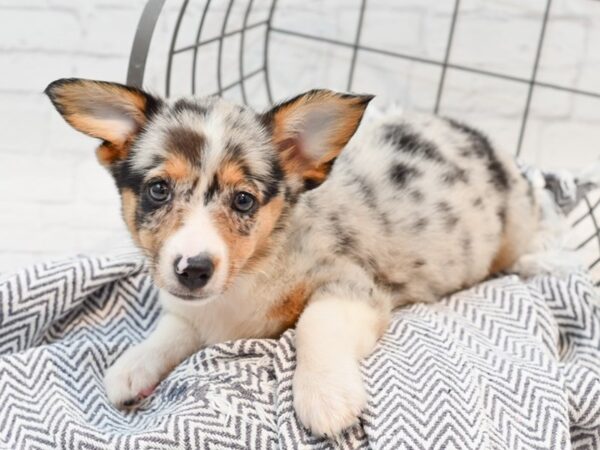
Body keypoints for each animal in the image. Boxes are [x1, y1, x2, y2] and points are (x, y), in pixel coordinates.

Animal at [45, 77, 548, 436]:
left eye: (244, 200)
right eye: (158, 190)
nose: (194, 270)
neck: (242, 283)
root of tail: (472, 132)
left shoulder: (352, 284)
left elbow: (314, 323)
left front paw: (326, 397)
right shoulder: (191, 309)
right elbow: (172, 327)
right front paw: (133, 366)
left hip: (517, 225)